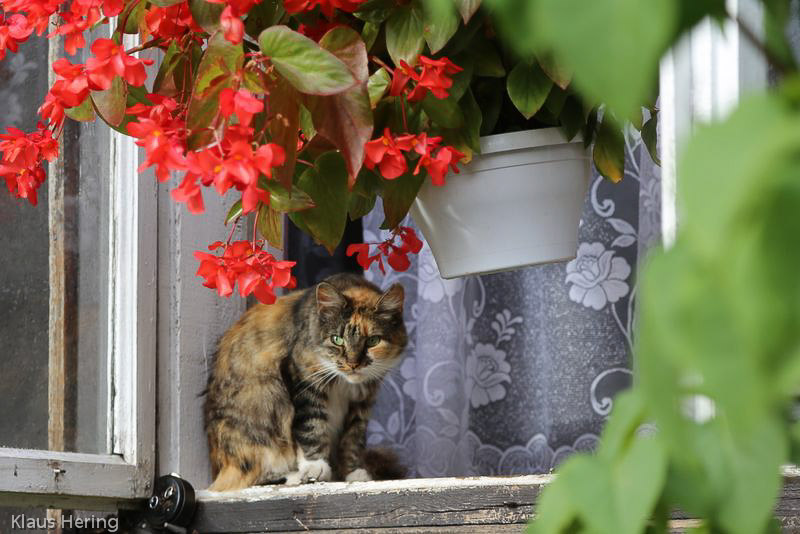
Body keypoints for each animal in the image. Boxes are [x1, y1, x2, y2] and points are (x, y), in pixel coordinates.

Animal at [204, 272, 408, 491]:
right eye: (337, 339)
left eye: (373, 341)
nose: (353, 364)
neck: (344, 384)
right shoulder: (304, 379)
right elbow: (312, 426)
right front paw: (315, 467)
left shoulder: (361, 402)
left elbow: (353, 439)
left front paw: (353, 473)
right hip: (267, 405)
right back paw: (295, 476)